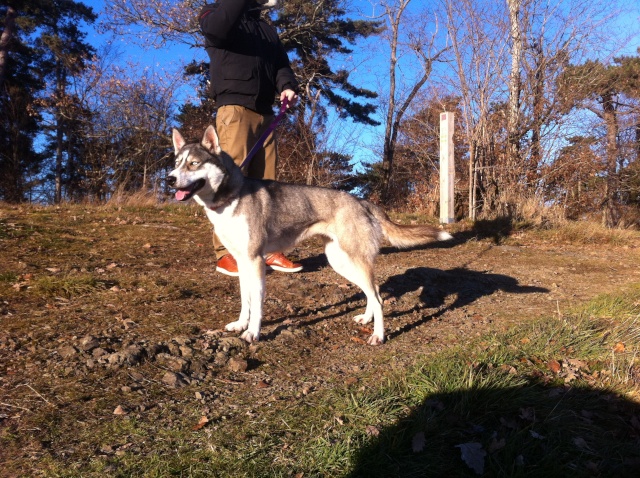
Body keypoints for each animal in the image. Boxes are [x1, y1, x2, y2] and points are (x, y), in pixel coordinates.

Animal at [168, 126, 452, 344]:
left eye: (193, 164)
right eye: (176, 163)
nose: (169, 179)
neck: (231, 198)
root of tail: (363, 202)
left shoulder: (256, 262)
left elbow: (257, 305)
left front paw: (253, 333)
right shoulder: (242, 263)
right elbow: (245, 301)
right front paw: (240, 324)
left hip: (354, 261)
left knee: (379, 298)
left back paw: (378, 335)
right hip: (341, 262)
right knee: (375, 292)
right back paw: (366, 318)